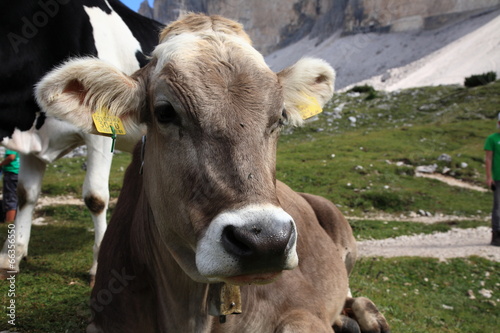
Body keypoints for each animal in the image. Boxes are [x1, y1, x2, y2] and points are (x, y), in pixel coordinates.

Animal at [0, 0, 162, 282]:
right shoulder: (32, 140)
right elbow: (26, 195)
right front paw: (12, 255)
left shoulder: (101, 131)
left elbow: (95, 197)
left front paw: (98, 265)